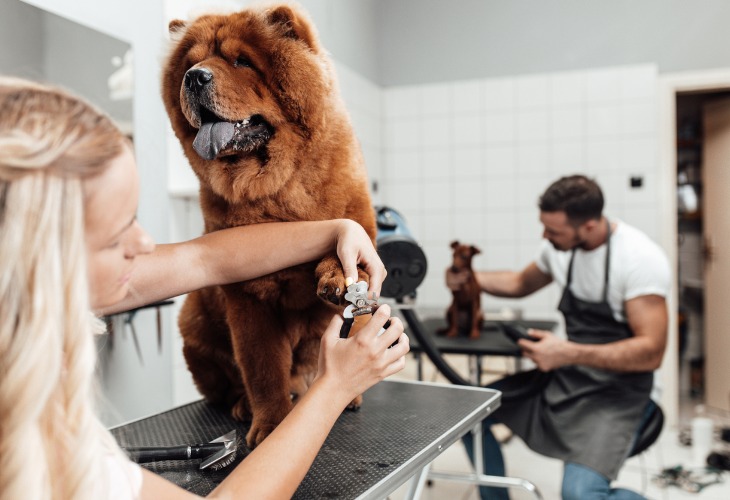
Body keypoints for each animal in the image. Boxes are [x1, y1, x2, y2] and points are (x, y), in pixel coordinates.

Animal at [161, 1, 372, 448]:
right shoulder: (249, 298)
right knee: (229, 385)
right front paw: (273, 425)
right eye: (190, 64)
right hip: (193, 322)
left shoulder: (359, 224)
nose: (194, 76)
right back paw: (245, 405)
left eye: (242, 61)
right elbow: (263, 369)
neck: (278, 187)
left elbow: (347, 252)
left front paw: (337, 275)